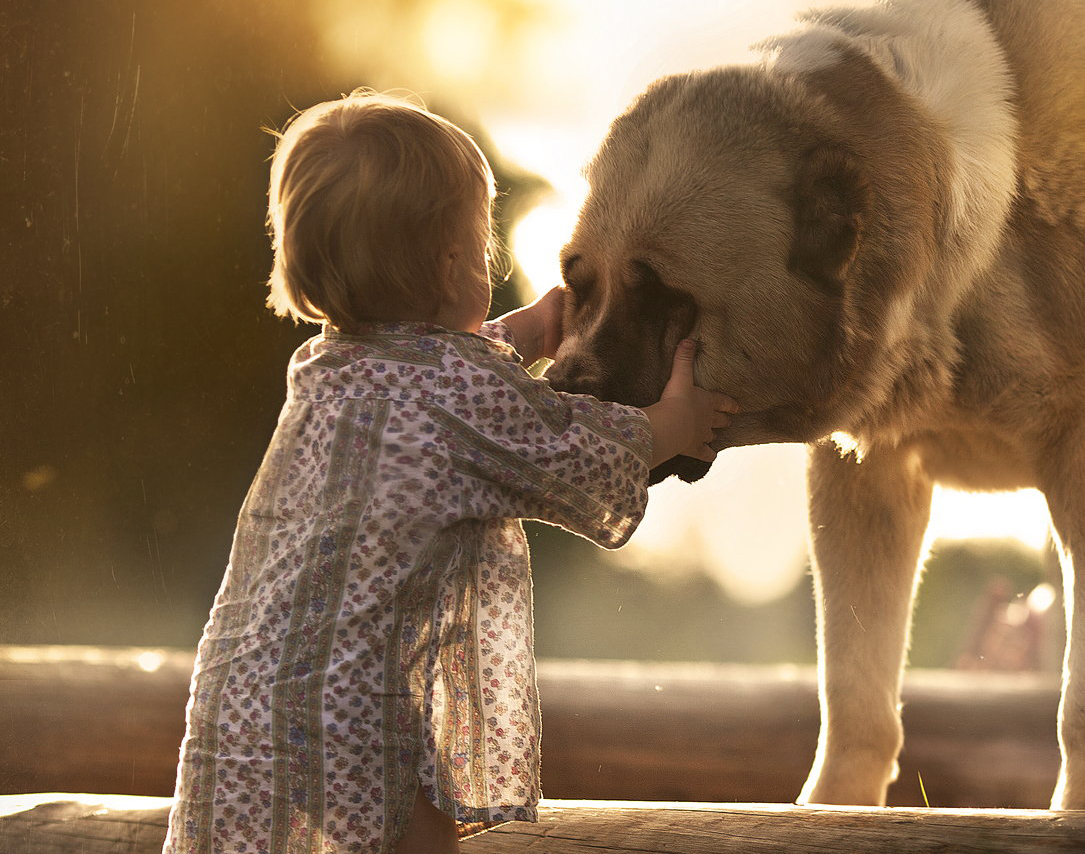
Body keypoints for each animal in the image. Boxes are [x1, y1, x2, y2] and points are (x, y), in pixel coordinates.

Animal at [546, 0, 1085, 811]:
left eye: (671, 301)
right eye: (576, 285)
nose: (561, 392)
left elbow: (1074, 704)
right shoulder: (866, 477)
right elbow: (855, 684)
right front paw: (835, 808)